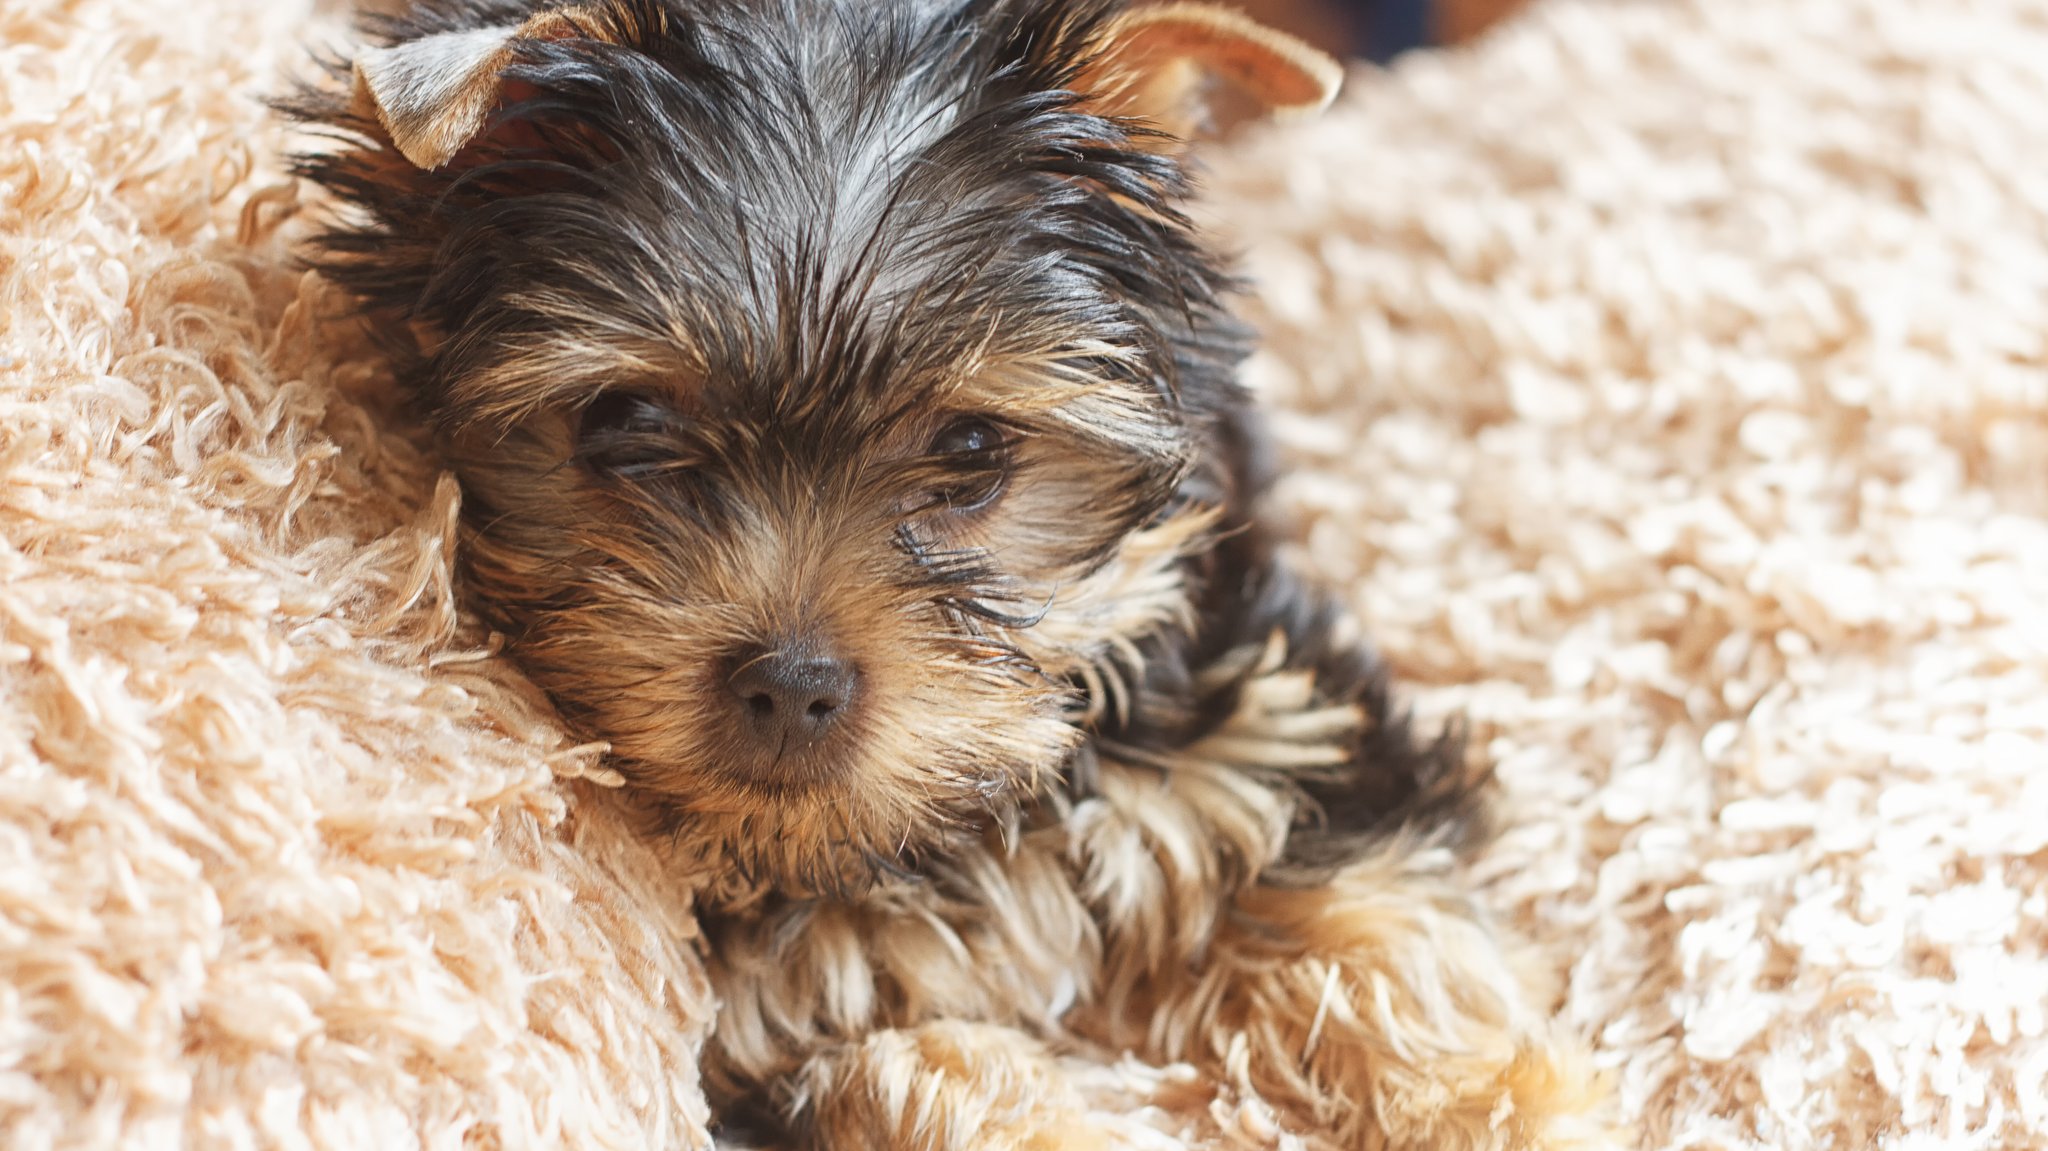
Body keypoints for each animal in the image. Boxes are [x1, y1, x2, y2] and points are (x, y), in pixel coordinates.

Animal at [288, 4, 1613, 1138]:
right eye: (625, 426)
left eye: (971, 452)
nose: (791, 683)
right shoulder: (768, 1039)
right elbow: (909, 1068)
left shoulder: (1268, 704)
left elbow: (1365, 899)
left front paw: (1494, 1100)